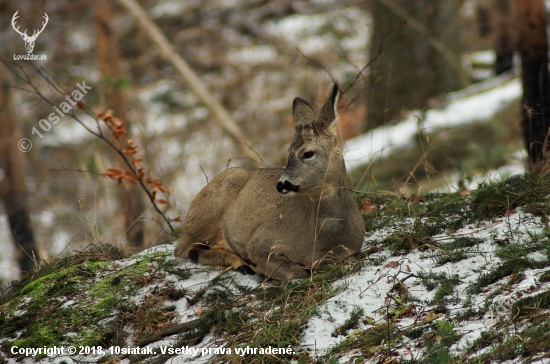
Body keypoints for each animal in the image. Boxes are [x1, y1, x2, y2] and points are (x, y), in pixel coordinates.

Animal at [176, 84, 366, 280]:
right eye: (288, 152)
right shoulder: (260, 242)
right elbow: (296, 272)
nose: (281, 184)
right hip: (212, 204)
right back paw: (240, 263)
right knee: (182, 248)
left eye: (308, 153)